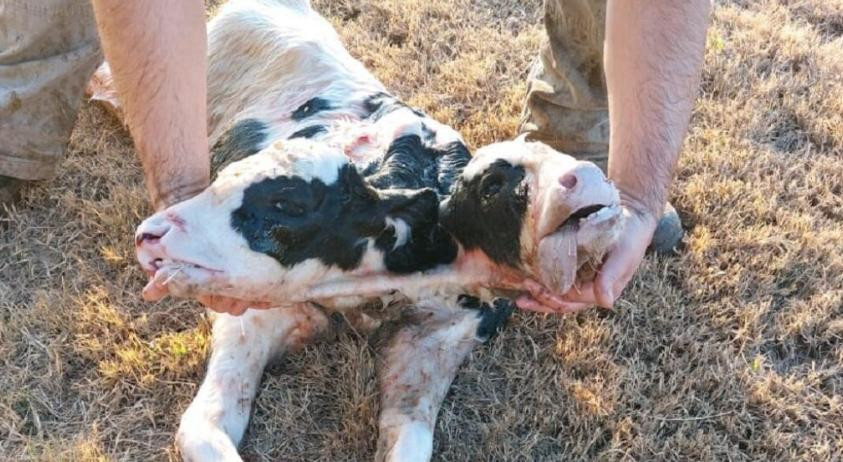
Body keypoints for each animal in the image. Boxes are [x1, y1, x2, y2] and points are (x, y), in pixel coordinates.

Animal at [135, 1, 624, 460]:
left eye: (287, 204)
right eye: (494, 184)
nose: (150, 234)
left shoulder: (437, 342)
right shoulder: (250, 320)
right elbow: (202, 428)